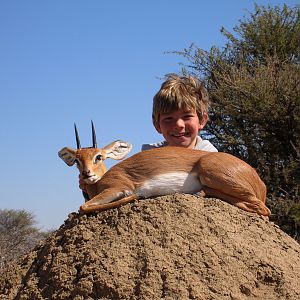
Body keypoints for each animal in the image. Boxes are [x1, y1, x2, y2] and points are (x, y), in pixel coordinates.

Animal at [57, 123, 270, 217]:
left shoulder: (118, 187)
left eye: (99, 156)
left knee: (262, 209)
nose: (87, 174)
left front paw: (136, 197)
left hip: (211, 173)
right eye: (77, 160)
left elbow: (84, 206)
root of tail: (259, 181)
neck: (99, 183)